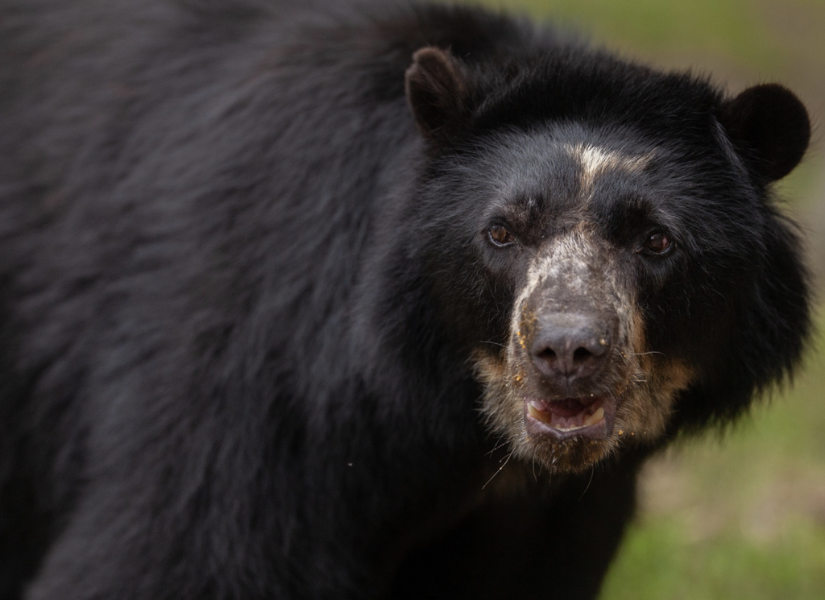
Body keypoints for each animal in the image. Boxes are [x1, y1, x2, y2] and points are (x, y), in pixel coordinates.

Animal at [0, 0, 812, 599]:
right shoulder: (254, 381)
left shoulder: (552, 520)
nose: (566, 351)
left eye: (655, 241)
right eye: (500, 232)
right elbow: (173, 559)